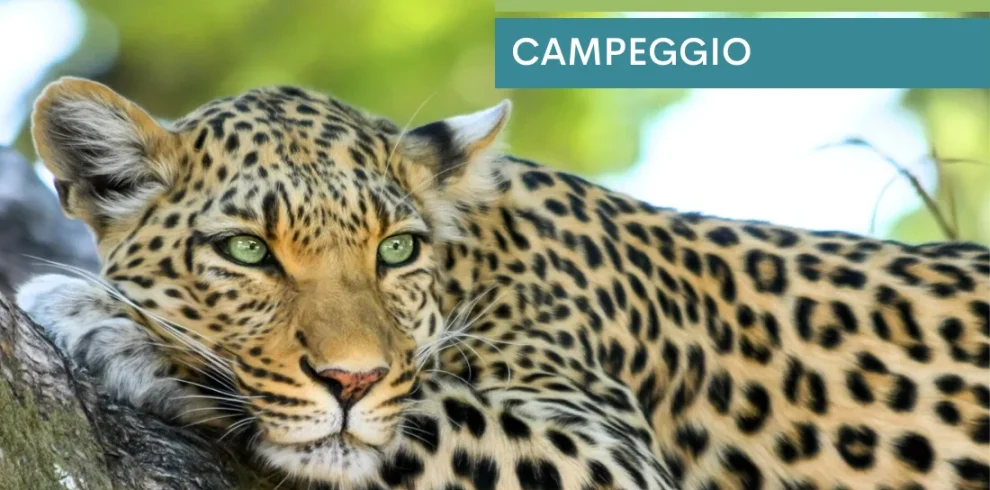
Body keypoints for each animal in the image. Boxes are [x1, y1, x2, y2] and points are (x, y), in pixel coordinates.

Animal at [16, 77, 989, 490]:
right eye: (248, 252)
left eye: (396, 251)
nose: (350, 380)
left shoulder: (609, 455)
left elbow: (428, 406)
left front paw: (113, 323)